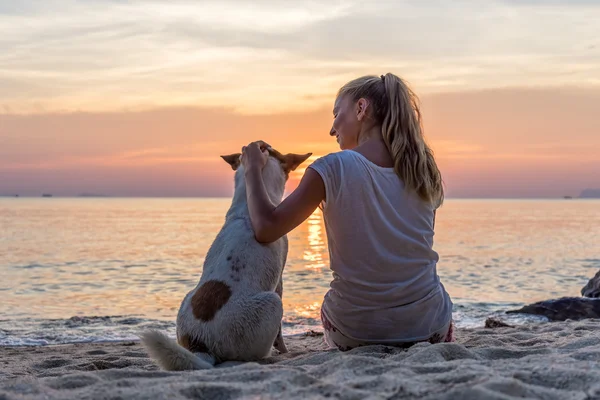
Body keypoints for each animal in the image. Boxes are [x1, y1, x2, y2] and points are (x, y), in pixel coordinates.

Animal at [139, 145, 310, 370]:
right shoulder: (279, 281)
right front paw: (284, 350)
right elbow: (280, 334)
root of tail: (200, 343)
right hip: (271, 303)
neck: (246, 207)